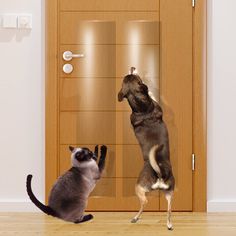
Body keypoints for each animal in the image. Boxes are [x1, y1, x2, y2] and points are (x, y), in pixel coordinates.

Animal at [118, 67, 175, 230]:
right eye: (138, 78)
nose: (132, 67)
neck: (142, 109)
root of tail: (159, 173)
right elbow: (150, 93)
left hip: (157, 190)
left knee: (156, 206)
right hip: (154, 190)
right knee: (155, 205)